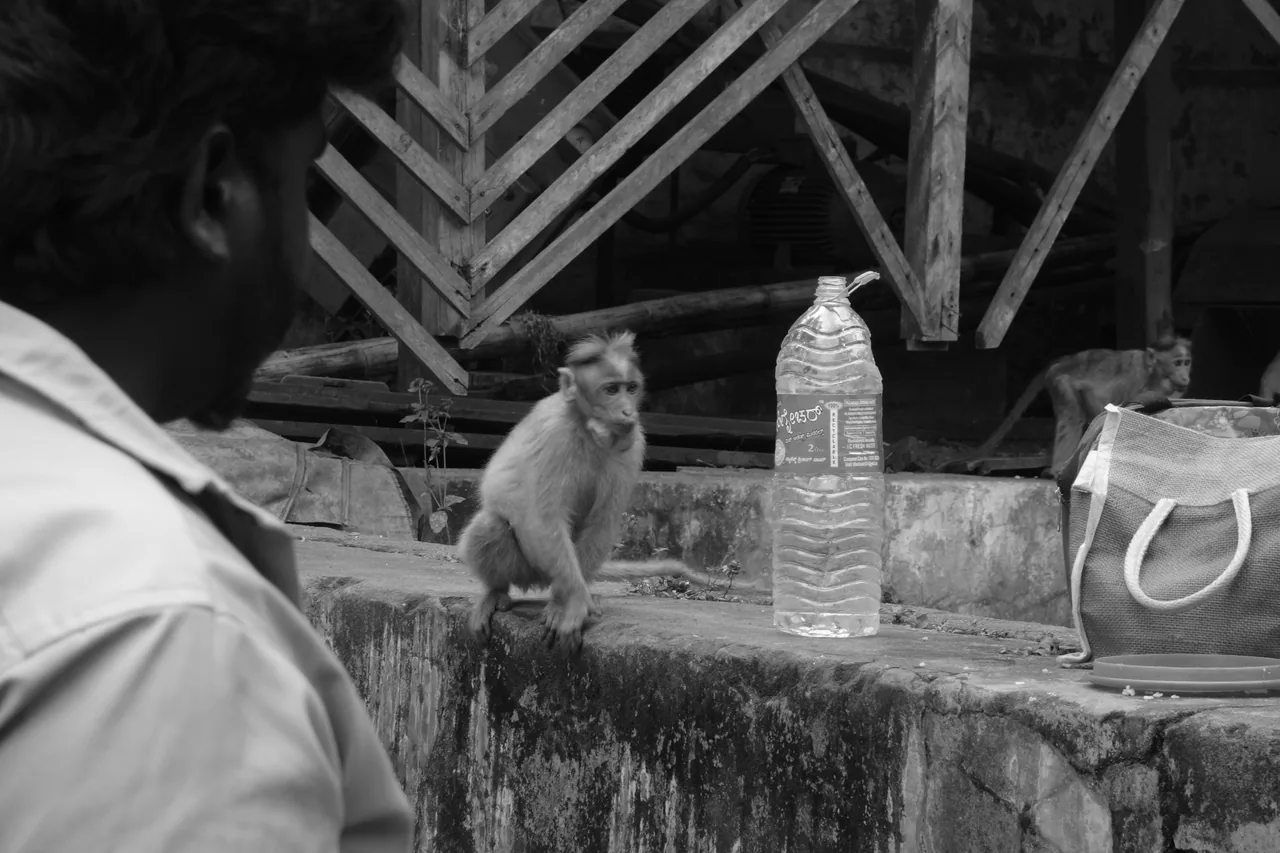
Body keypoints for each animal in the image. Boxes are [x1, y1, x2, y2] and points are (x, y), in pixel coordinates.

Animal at [458, 330, 721, 653]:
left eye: (631, 388)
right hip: (531, 568)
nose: (628, 411)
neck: (586, 429)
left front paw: (570, 604)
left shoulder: (633, 445)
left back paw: (561, 597)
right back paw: (497, 591)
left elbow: (603, 521)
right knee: (490, 526)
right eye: (610, 390)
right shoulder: (554, 434)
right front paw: (575, 601)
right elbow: (542, 518)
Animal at [970, 319, 1192, 479]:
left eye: (1186, 363)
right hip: (1060, 382)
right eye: (1178, 363)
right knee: (1071, 418)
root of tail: (1062, 361)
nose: (1185, 376)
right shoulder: (1136, 378)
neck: (1154, 372)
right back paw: (1056, 470)